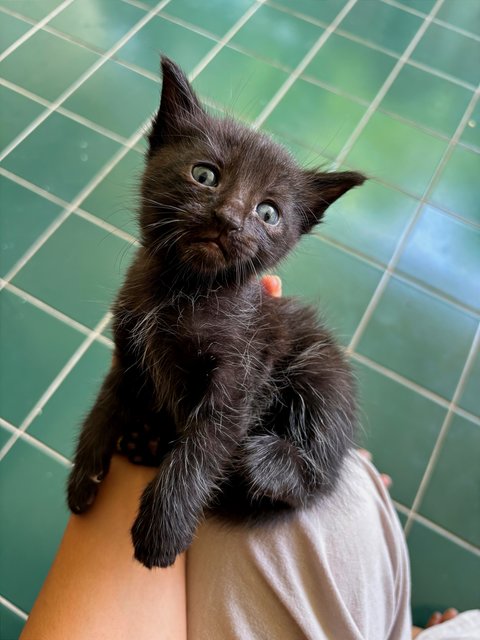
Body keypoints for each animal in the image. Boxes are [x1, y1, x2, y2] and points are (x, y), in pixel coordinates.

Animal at [67, 58, 364, 568]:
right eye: (204, 175)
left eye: (268, 213)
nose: (228, 219)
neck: (182, 293)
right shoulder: (128, 350)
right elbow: (106, 401)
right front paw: (84, 473)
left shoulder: (238, 376)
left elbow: (202, 449)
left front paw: (163, 529)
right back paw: (146, 440)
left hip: (321, 372)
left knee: (318, 476)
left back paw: (262, 461)